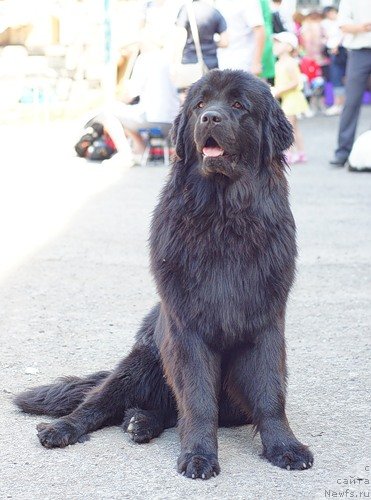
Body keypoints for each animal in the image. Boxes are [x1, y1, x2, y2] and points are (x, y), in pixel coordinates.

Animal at [16, 69, 314, 476]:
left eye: (239, 105)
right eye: (200, 105)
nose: (210, 118)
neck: (223, 217)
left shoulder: (266, 322)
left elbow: (270, 393)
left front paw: (285, 446)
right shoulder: (186, 327)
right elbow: (198, 399)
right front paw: (199, 455)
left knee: (164, 410)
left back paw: (140, 421)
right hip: (142, 361)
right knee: (99, 402)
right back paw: (64, 427)